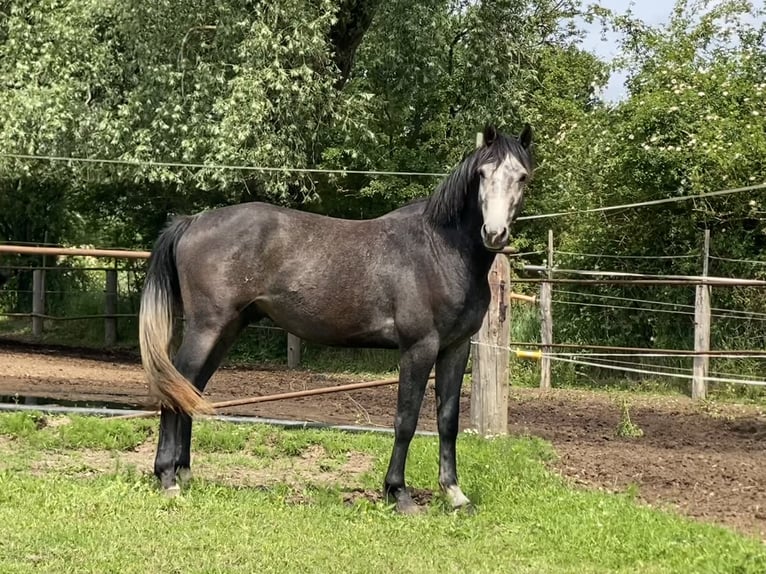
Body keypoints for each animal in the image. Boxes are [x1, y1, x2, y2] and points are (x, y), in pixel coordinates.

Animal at [138, 124, 534, 513]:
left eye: (522, 177)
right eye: (482, 174)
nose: (494, 233)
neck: (440, 250)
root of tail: (192, 221)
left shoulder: (456, 348)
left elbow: (448, 419)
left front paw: (454, 494)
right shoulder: (419, 347)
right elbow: (406, 419)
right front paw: (398, 493)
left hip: (227, 329)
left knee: (190, 388)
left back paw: (184, 472)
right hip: (206, 328)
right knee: (175, 384)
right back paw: (168, 479)